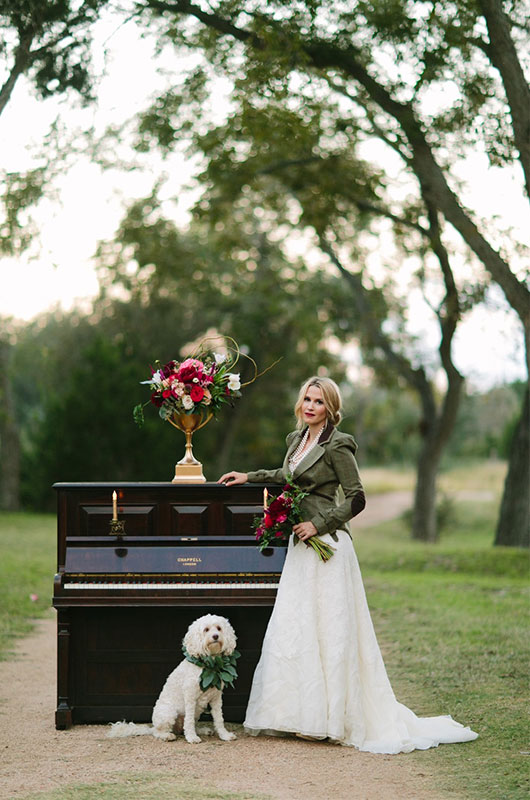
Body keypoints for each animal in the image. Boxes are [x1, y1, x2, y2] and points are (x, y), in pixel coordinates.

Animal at [108, 616, 236, 748]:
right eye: (206, 629)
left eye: (219, 628)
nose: (215, 636)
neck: (210, 665)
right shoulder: (190, 697)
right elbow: (189, 721)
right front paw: (192, 737)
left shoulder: (216, 698)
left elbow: (219, 719)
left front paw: (224, 735)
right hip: (169, 713)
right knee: (158, 731)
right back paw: (167, 736)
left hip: (196, 712)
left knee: (184, 727)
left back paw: (203, 730)